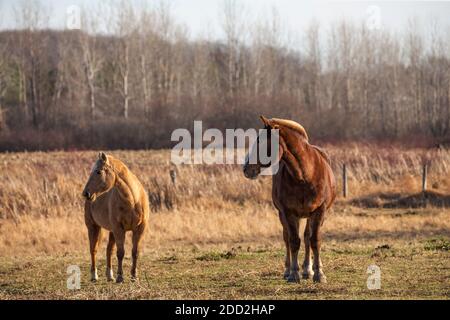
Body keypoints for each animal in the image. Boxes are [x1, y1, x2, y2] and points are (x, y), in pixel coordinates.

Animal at [82, 152, 149, 282]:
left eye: (98, 171)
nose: (86, 193)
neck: (133, 200)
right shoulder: (119, 229)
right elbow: (120, 253)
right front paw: (120, 276)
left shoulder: (139, 229)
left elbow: (135, 252)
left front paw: (134, 276)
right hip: (93, 227)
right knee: (93, 250)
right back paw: (94, 276)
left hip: (111, 231)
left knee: (109, 250)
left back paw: (110, 275)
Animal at [244, 115, 336, 282]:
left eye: (261, 142)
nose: (246, 169)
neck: (305, 175)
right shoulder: (288, 212)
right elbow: (293, 241)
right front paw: (293, 273)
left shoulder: (319, 211)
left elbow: (314, 240)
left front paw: (319, 273)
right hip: (285, 215)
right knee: (287, 238)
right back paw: (289, 270)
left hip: (310, 215)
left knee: (307, 237)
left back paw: (308, 270)